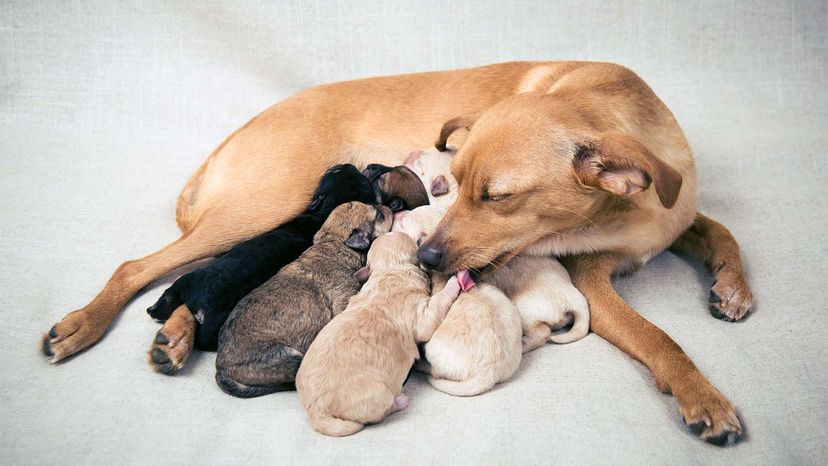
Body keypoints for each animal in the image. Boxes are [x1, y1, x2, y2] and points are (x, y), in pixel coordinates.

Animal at [144, 166, 374, 374]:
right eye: (337, 172)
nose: (347, 164)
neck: (324, 214)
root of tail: (202, 308)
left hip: (194, 280)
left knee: (172, 293)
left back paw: (158, 314)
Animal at [213, 200, 394, 396]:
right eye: (378, 215)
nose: (389, 207)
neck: (335, 242)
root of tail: (221, 370)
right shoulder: (344, 301)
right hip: (289, 356)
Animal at [294, 233, 462, 436]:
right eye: (415, 242)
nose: (421, 236)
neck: (390, 269)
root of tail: (315, 410)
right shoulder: (423, 315)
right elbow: (438, 303)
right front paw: (453, 282)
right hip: (379, 394)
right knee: (382, 412)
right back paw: (401, 401)